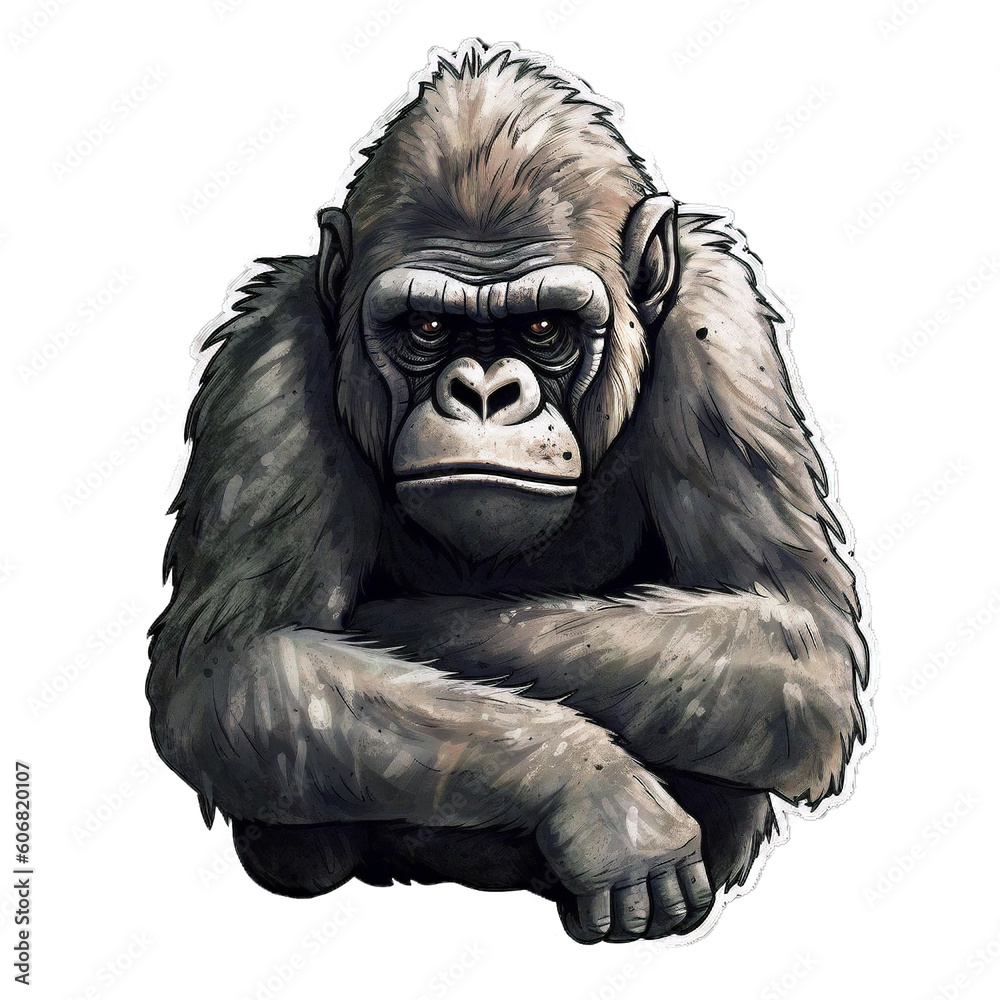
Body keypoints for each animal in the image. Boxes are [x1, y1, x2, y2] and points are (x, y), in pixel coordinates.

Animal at [148, 40, 870, 945]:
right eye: (427, 328)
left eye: (541, 328)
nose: (485, 393)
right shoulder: (268, 355)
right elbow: (237, 664)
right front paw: (593, 791)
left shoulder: (722, 330)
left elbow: (794, 640)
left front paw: (413, 623)